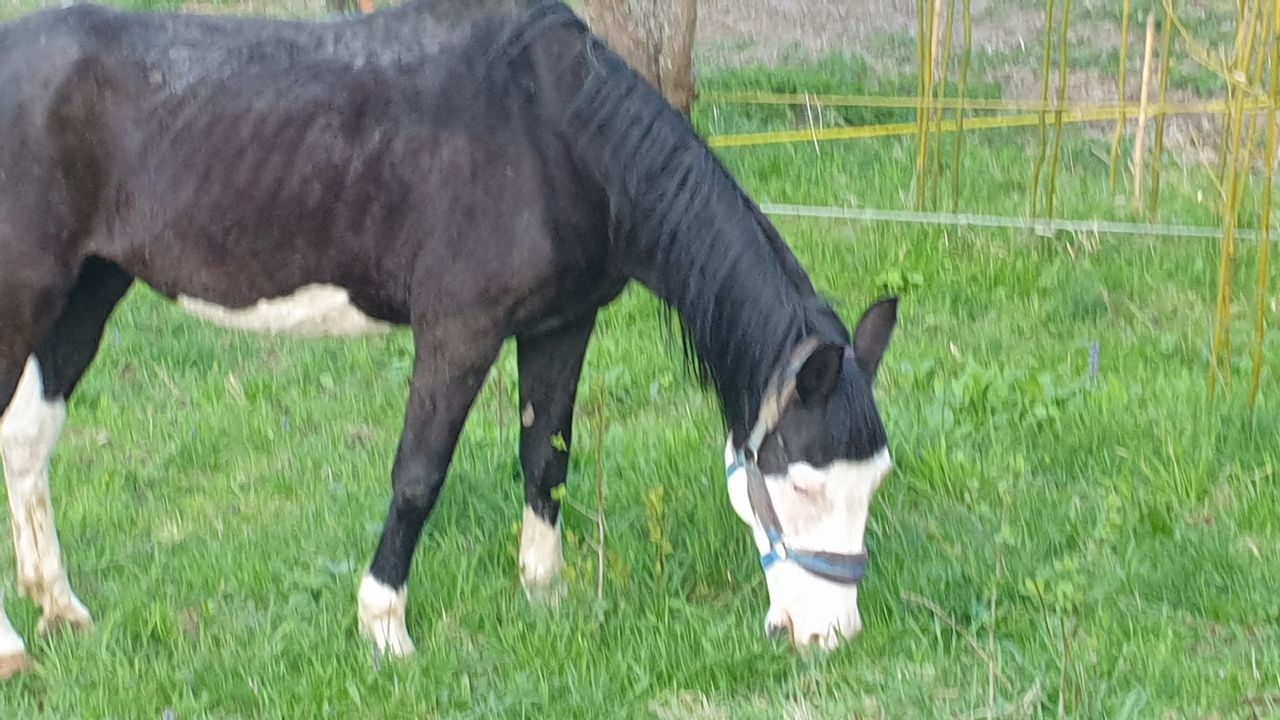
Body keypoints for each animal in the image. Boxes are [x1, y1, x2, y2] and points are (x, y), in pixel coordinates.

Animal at [0, 0, 898, 675]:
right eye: (802, 486)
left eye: (876, 482)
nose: (833, 636)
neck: (554, 135)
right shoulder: (459, 334)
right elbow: (418, 478)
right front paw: (385, 628)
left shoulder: (561, 326)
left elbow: (547, 458)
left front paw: (544, 596)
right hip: (26, 299)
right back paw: (14, 649)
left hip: (88, 291)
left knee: (27, 441)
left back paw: (60, 609)